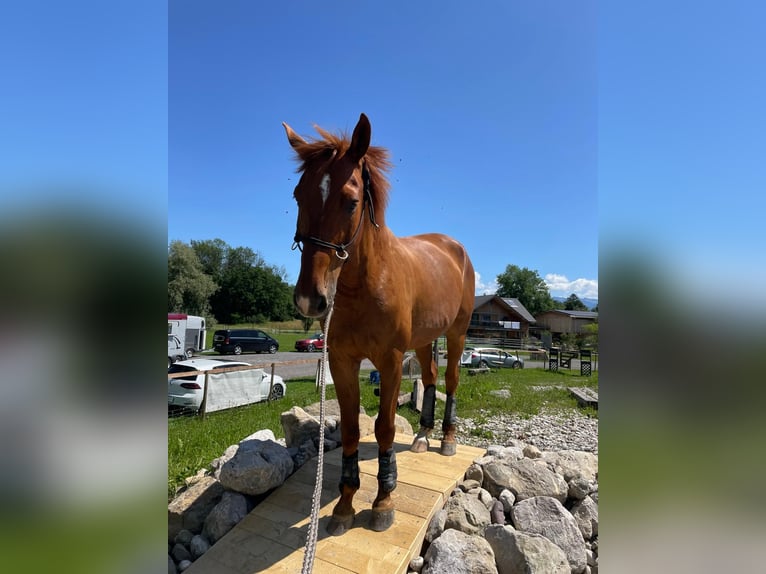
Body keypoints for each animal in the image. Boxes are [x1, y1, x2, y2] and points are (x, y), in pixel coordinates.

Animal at [283, 113, 475, 535]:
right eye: (298, 195)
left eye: (351, 201)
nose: (310, 299)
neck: (365, 283)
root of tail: (453, 247)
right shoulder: (341, 361)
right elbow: (352, 430)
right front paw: (343, 505)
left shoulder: (389, 361)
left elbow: (384, 428)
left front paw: (383, 501)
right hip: (423, 339)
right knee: (431, 377)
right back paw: (422, 435)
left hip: (456, 333)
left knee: (451, 379)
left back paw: (447, 439)